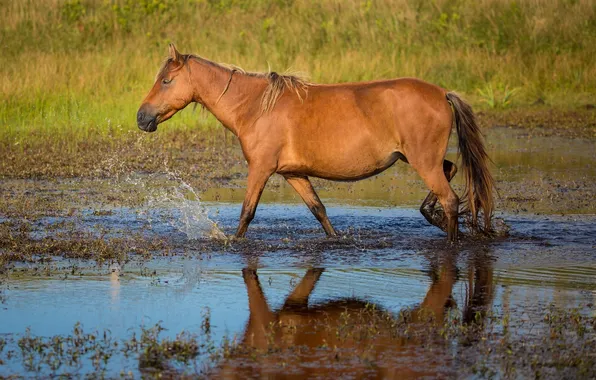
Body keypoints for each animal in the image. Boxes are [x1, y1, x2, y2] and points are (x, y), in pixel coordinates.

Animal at [139, 44, 494, 240]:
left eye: (166, 81)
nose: (142, 118)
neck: (255, 107)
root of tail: (443, 93)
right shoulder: (293, 173)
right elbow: (319, 211)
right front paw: (336, 239)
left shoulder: (260, 169)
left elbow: (246, 214)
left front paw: (232, 243)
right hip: (419, 159)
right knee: (450, 173)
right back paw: (433, 215)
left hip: (422, 161)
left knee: (450, 199)